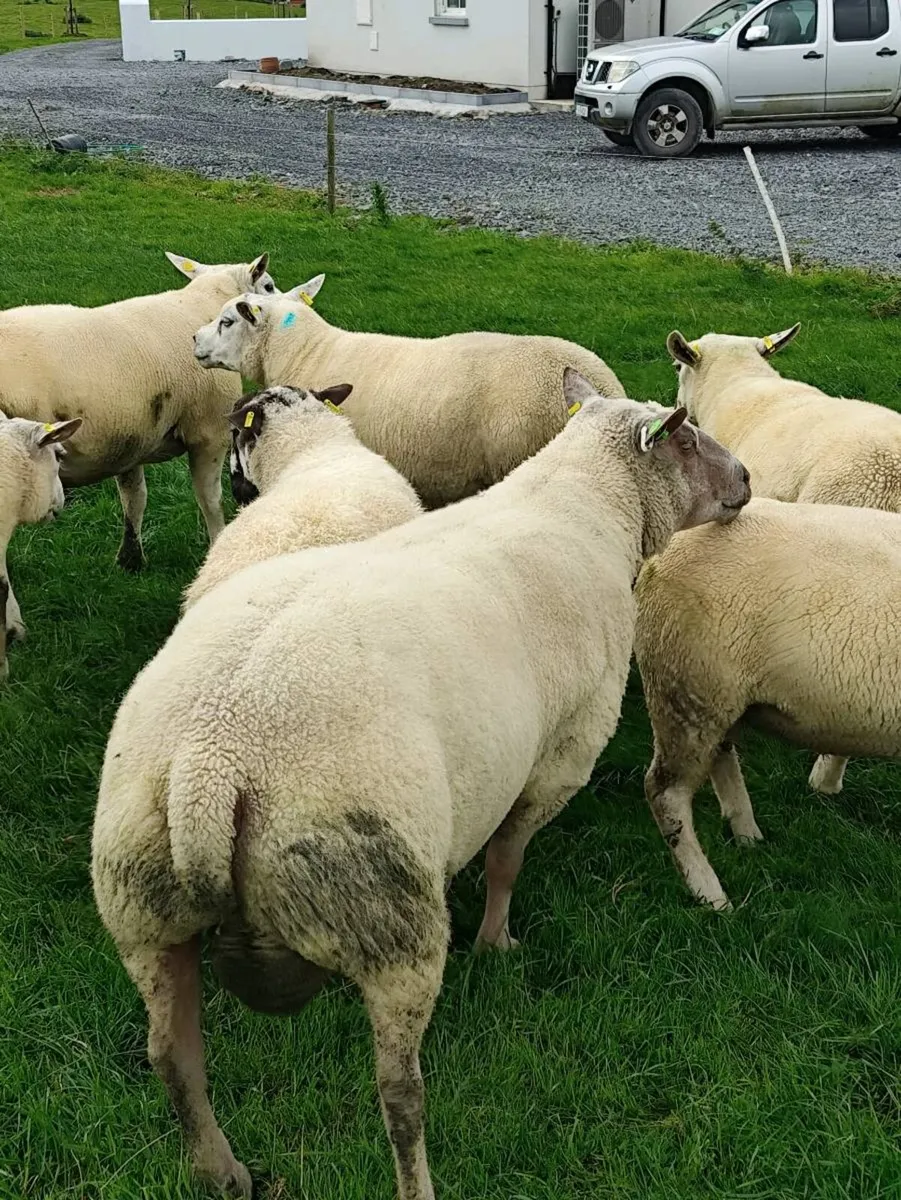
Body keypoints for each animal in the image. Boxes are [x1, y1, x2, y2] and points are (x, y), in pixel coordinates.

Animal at [0, 251, 278, 572]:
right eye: (269, 287)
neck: (204, 304)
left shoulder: (129, 435)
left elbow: (134, 498)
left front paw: (130, 559)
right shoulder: (209, 433)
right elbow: (209, 498)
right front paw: (217, 545)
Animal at [635, 496, 901, 912]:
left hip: (716, 692)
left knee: (721, 755)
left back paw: (747, 835)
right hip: (686, 685)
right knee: (665, 793)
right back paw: (710, 894)